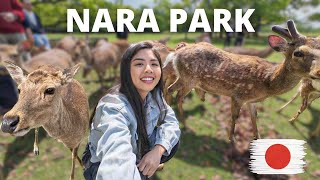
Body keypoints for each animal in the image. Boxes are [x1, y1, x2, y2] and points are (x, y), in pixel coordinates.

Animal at [166, 19, 320, 141]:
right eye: (298, 53)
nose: (318, 72)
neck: (267, 82)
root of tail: (179, 50)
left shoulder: (251, 101)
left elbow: (254, 117)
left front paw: (257, 138)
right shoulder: (238, 95)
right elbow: (235, 116)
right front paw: (231, 138)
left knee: (171, 91)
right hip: (188, 78)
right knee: (175, 93)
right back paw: (184, 125)